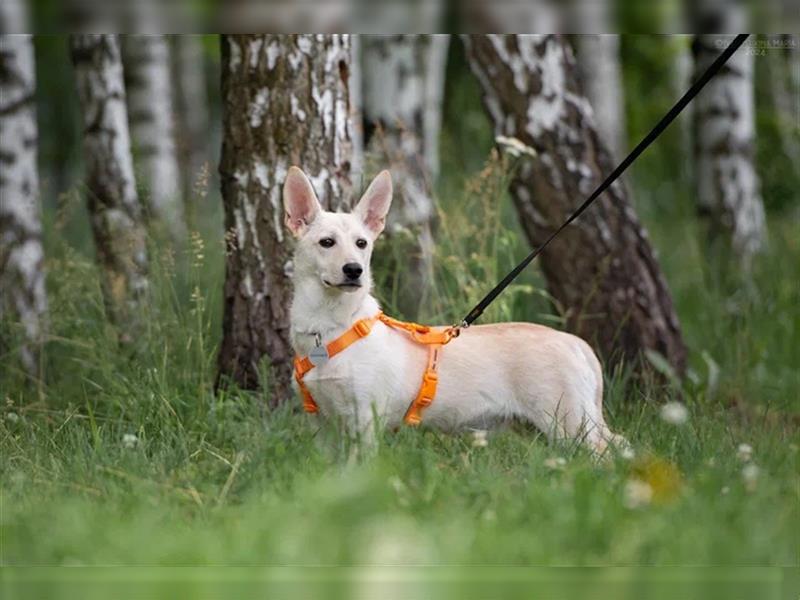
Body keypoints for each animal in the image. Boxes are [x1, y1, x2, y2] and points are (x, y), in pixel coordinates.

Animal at [284, 166, 628, 452]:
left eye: (362, 243)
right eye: (326, 242)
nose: (354, 270)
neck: (331, 326)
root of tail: (574, 342)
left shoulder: (366, 421)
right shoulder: (321, 426)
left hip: (569, 423)